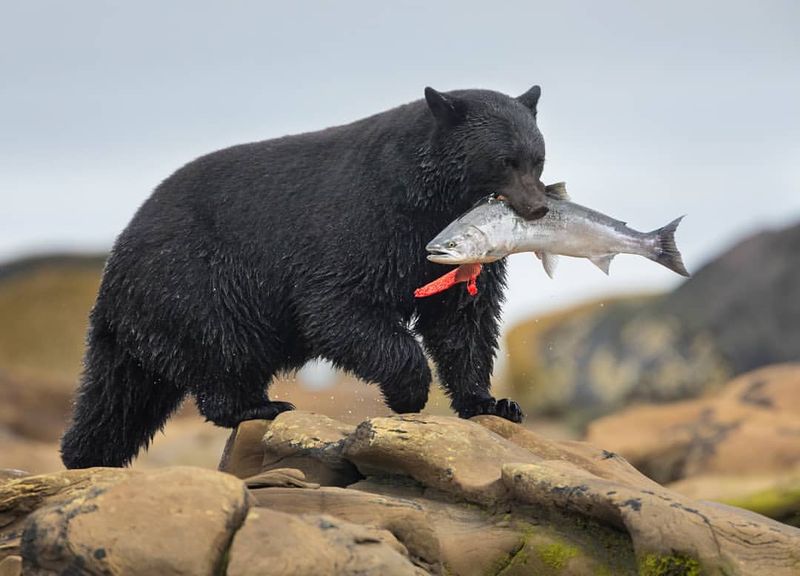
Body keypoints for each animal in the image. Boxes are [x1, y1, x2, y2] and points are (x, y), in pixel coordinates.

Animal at [61, 85, 552, 468]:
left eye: (538, 159)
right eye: (504, 160)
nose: (537, 208)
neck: (426, 200)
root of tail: (115, 264)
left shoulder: (452, 250)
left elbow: (462, 317)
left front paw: (493, 402)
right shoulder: (365, 225)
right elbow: (336, 306)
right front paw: (409, 393)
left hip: (145, 325)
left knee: (121, 395)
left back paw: (84, 454)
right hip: (196, 283)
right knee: (221, 353)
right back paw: (258, 404)